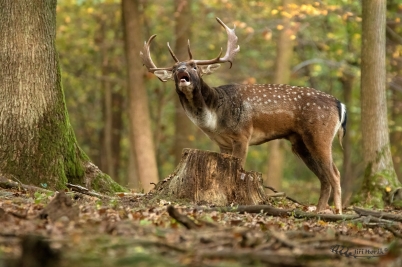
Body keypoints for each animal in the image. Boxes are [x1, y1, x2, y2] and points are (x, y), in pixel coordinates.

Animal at [141, 17, 346, 215]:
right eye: (174, 68)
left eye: (194, 66)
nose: (182, 69)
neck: (214, 119)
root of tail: (340, 104)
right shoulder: (222, 143)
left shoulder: (243, 135)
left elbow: (240, 169)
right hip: (300, 142)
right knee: (324, 177)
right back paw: (319, 211)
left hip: (319, 135)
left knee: (335, 174)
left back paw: (338, 211)